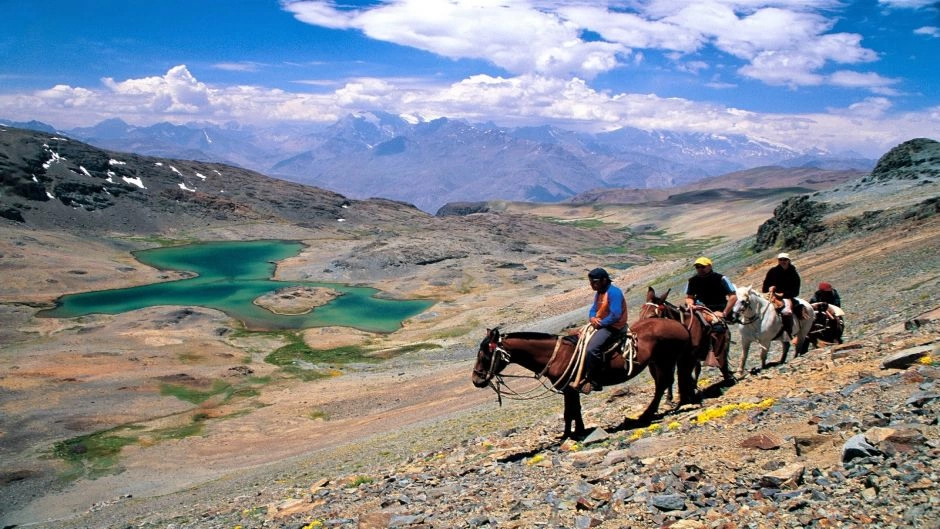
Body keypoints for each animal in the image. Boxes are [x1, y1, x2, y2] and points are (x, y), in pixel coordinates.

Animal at [470, 318, 696, 438]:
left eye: (484, 355)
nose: (476, 380)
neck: (556, 354)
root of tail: (679, 325)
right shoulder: (570, 388)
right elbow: (573, 410)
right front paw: (576, 431)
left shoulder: (570, 388)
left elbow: (569, 412)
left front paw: (570, 435)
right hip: (657, 363)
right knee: (663, 384)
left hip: (665, 360)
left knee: (663, 384)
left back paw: (645, 415)